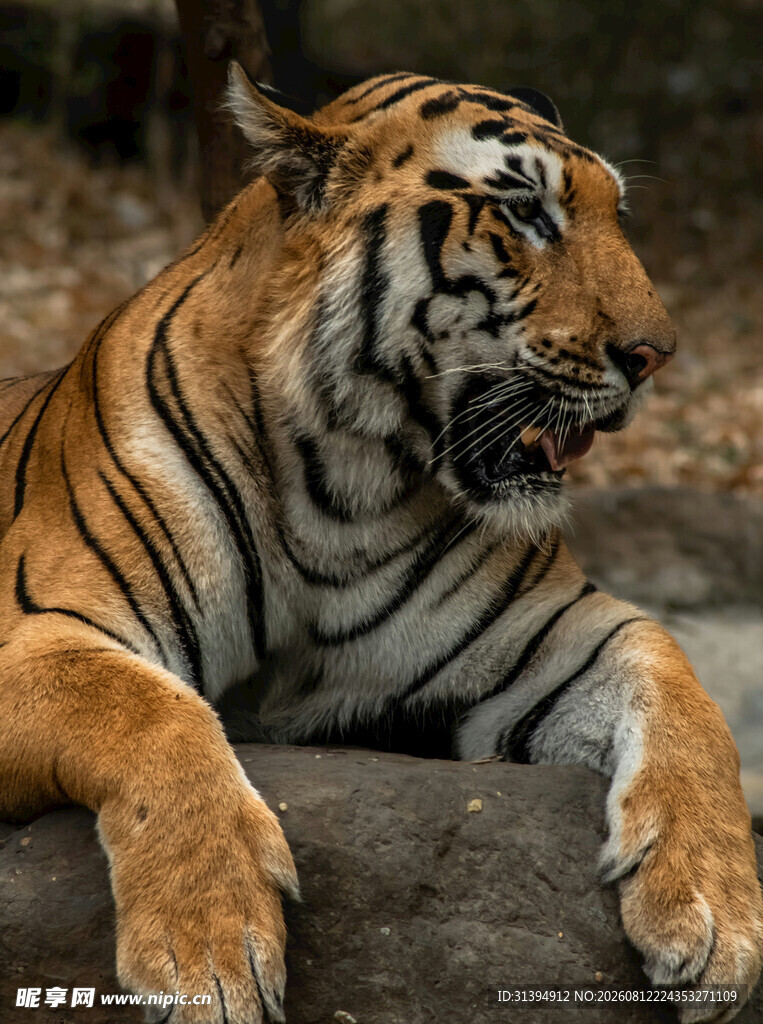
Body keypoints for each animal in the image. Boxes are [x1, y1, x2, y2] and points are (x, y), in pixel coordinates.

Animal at [0, 63, 761, 1023]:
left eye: (613, 215)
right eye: (527, 214)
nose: (655, 354)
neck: (341, 488)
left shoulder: (555, 635)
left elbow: (688, 704)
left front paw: (717, 916)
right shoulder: (40, 629)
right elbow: (153, 712)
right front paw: (207, 951)